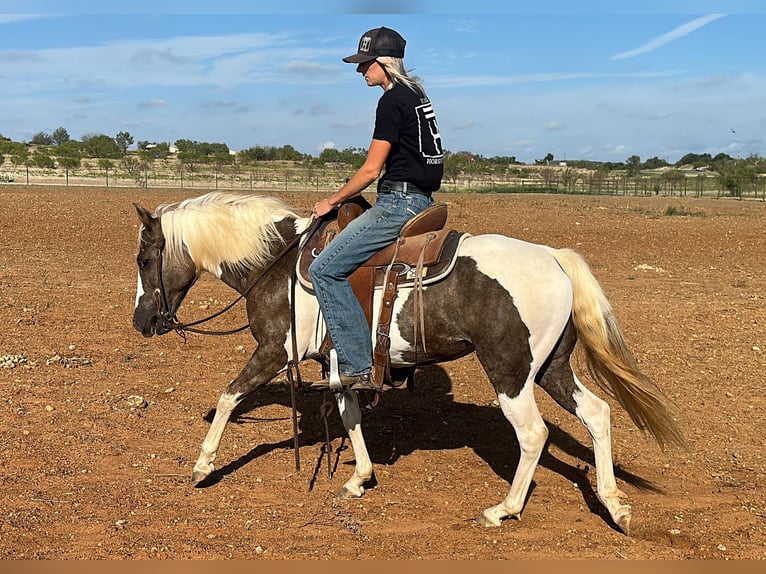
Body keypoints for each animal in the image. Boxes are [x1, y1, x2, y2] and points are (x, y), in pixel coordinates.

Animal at [132, 192, 684, 536]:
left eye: (144, 259)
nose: (141, 321)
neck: (279, 265)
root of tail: (552, 257)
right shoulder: (338, 366)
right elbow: (351, 415)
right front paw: (359, 478)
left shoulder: (274, 352)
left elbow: (229, 396)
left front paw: (202, 466)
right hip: (550, 367)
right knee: (597, 413)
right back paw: (615, 505)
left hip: (510, 370)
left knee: (533, 434)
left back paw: (502, 510)